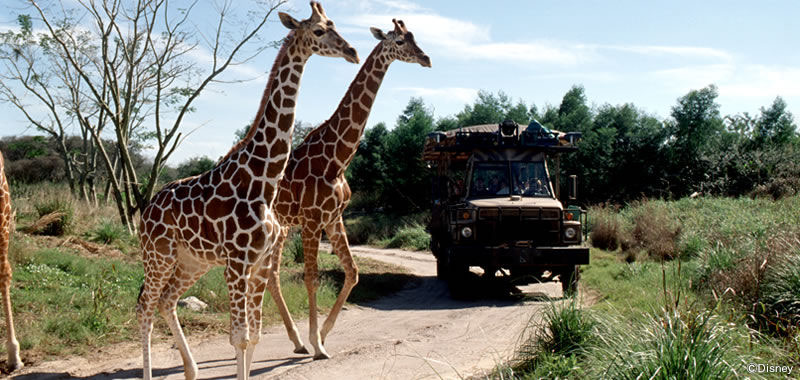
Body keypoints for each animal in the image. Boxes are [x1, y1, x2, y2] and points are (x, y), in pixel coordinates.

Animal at [138, 3, 360, 380]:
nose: (352, 51)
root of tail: (145, 212)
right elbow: (238, 337)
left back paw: (192, 370)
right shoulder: (238, 262)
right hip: (158, 256)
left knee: (166, 301)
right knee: (144, 308)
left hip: (191, 261)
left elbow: (252, 336)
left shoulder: (257, 263)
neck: (263, 178)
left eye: (335, 24)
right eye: (318, 31)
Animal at [268, 18, 432, 360]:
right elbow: (312, 278)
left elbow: (353, 272)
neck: (337, 158)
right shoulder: (312, 220)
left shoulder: (334, 218)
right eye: (399, 41)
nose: (426, 59)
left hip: (282, 227)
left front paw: (321, 337)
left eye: (415, 37)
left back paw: (296, 341)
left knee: (271, 275)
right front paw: (318, 344)